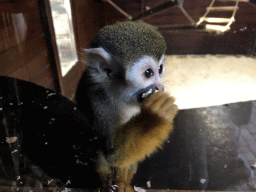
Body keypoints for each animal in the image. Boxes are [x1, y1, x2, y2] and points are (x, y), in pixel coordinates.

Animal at [76, 21, 178, 191]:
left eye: (160, 69)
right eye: (148, 73)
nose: (160, 87)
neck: (118, 95)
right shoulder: (98, 100)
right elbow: (111, 154)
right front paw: (153, 118)